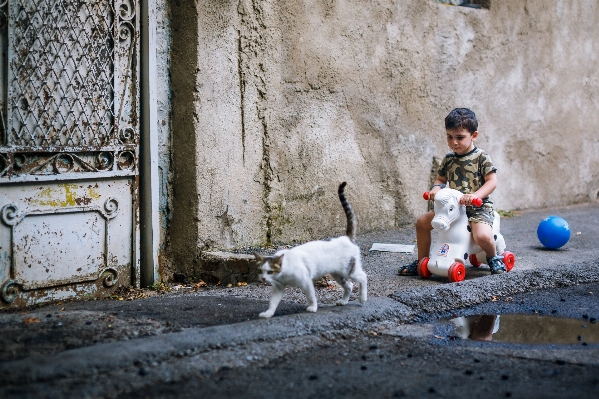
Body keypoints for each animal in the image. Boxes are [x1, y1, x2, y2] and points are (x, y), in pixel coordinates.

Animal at [252, 184, 366, 318]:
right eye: (260, 271)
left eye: (270, 272)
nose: (264, 279)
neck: (284, 271)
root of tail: (346, 238)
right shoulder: (278, 287)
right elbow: (273, 302)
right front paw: (268, 313)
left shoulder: (306, 281)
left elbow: (311, 296)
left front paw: (312, 307)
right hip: (338, 274)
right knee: (349, 285)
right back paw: (343, 301)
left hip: (349, 270)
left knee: (363, 277)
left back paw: (362, 297)